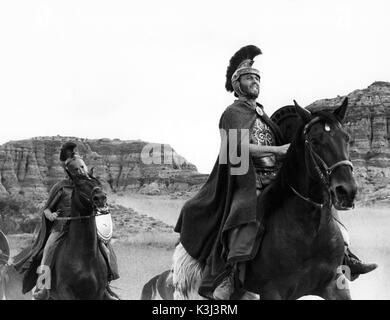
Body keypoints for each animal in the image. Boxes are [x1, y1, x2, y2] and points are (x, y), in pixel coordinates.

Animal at [174, 98, 356, 300]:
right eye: (315, 141)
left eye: (347, 138)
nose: (346, 191)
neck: (311, 231)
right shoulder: (273, 291)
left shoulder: (334, 284)